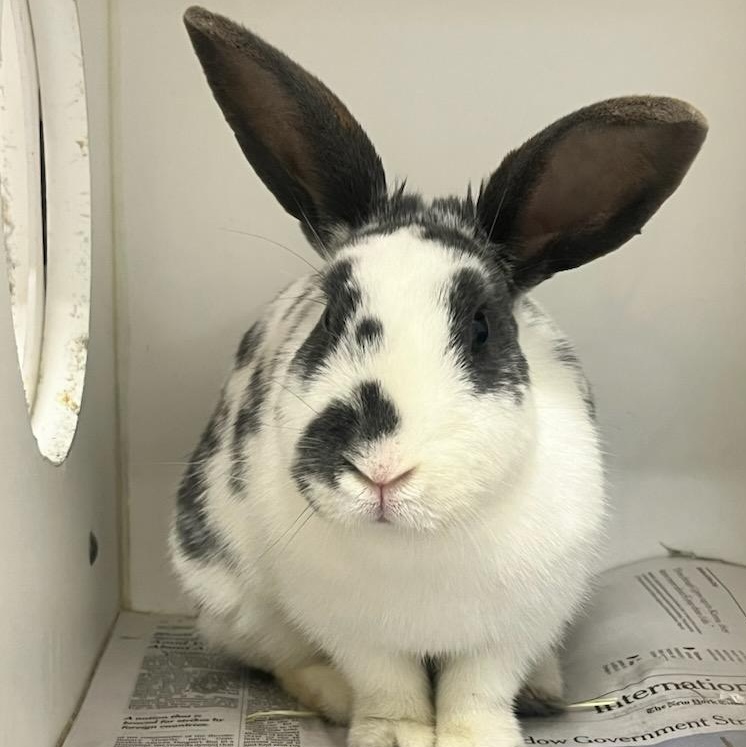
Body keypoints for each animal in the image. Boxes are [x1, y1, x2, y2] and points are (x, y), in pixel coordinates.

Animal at [169, 6, 707, 747]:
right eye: (330, 313)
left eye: (481, 325)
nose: (380, 469)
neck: (418, 543)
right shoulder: (357, 633)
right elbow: (387, 687)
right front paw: (390, 735)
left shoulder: (512, 627)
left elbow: (478, 690)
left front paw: (478, 738)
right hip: (232, 600)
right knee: (282, 656)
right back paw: (330, 697)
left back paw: (542, 689)